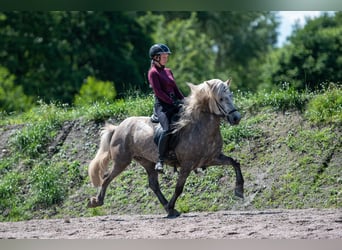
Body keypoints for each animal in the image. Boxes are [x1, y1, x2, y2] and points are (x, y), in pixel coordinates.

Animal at [87, 79, 243, 218]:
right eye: (221, 98)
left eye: (231, 96)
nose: (236, 118)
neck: (200, 126)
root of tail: (118, 127)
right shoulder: (187, 165)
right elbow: (179, 188)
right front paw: (172, 205)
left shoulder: (212, 159)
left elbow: (235, 162)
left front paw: (239, 190)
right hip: (122, 161)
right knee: (106, 178)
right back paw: (96, 202)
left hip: (147, 162)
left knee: (153, 185)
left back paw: (168, 208)